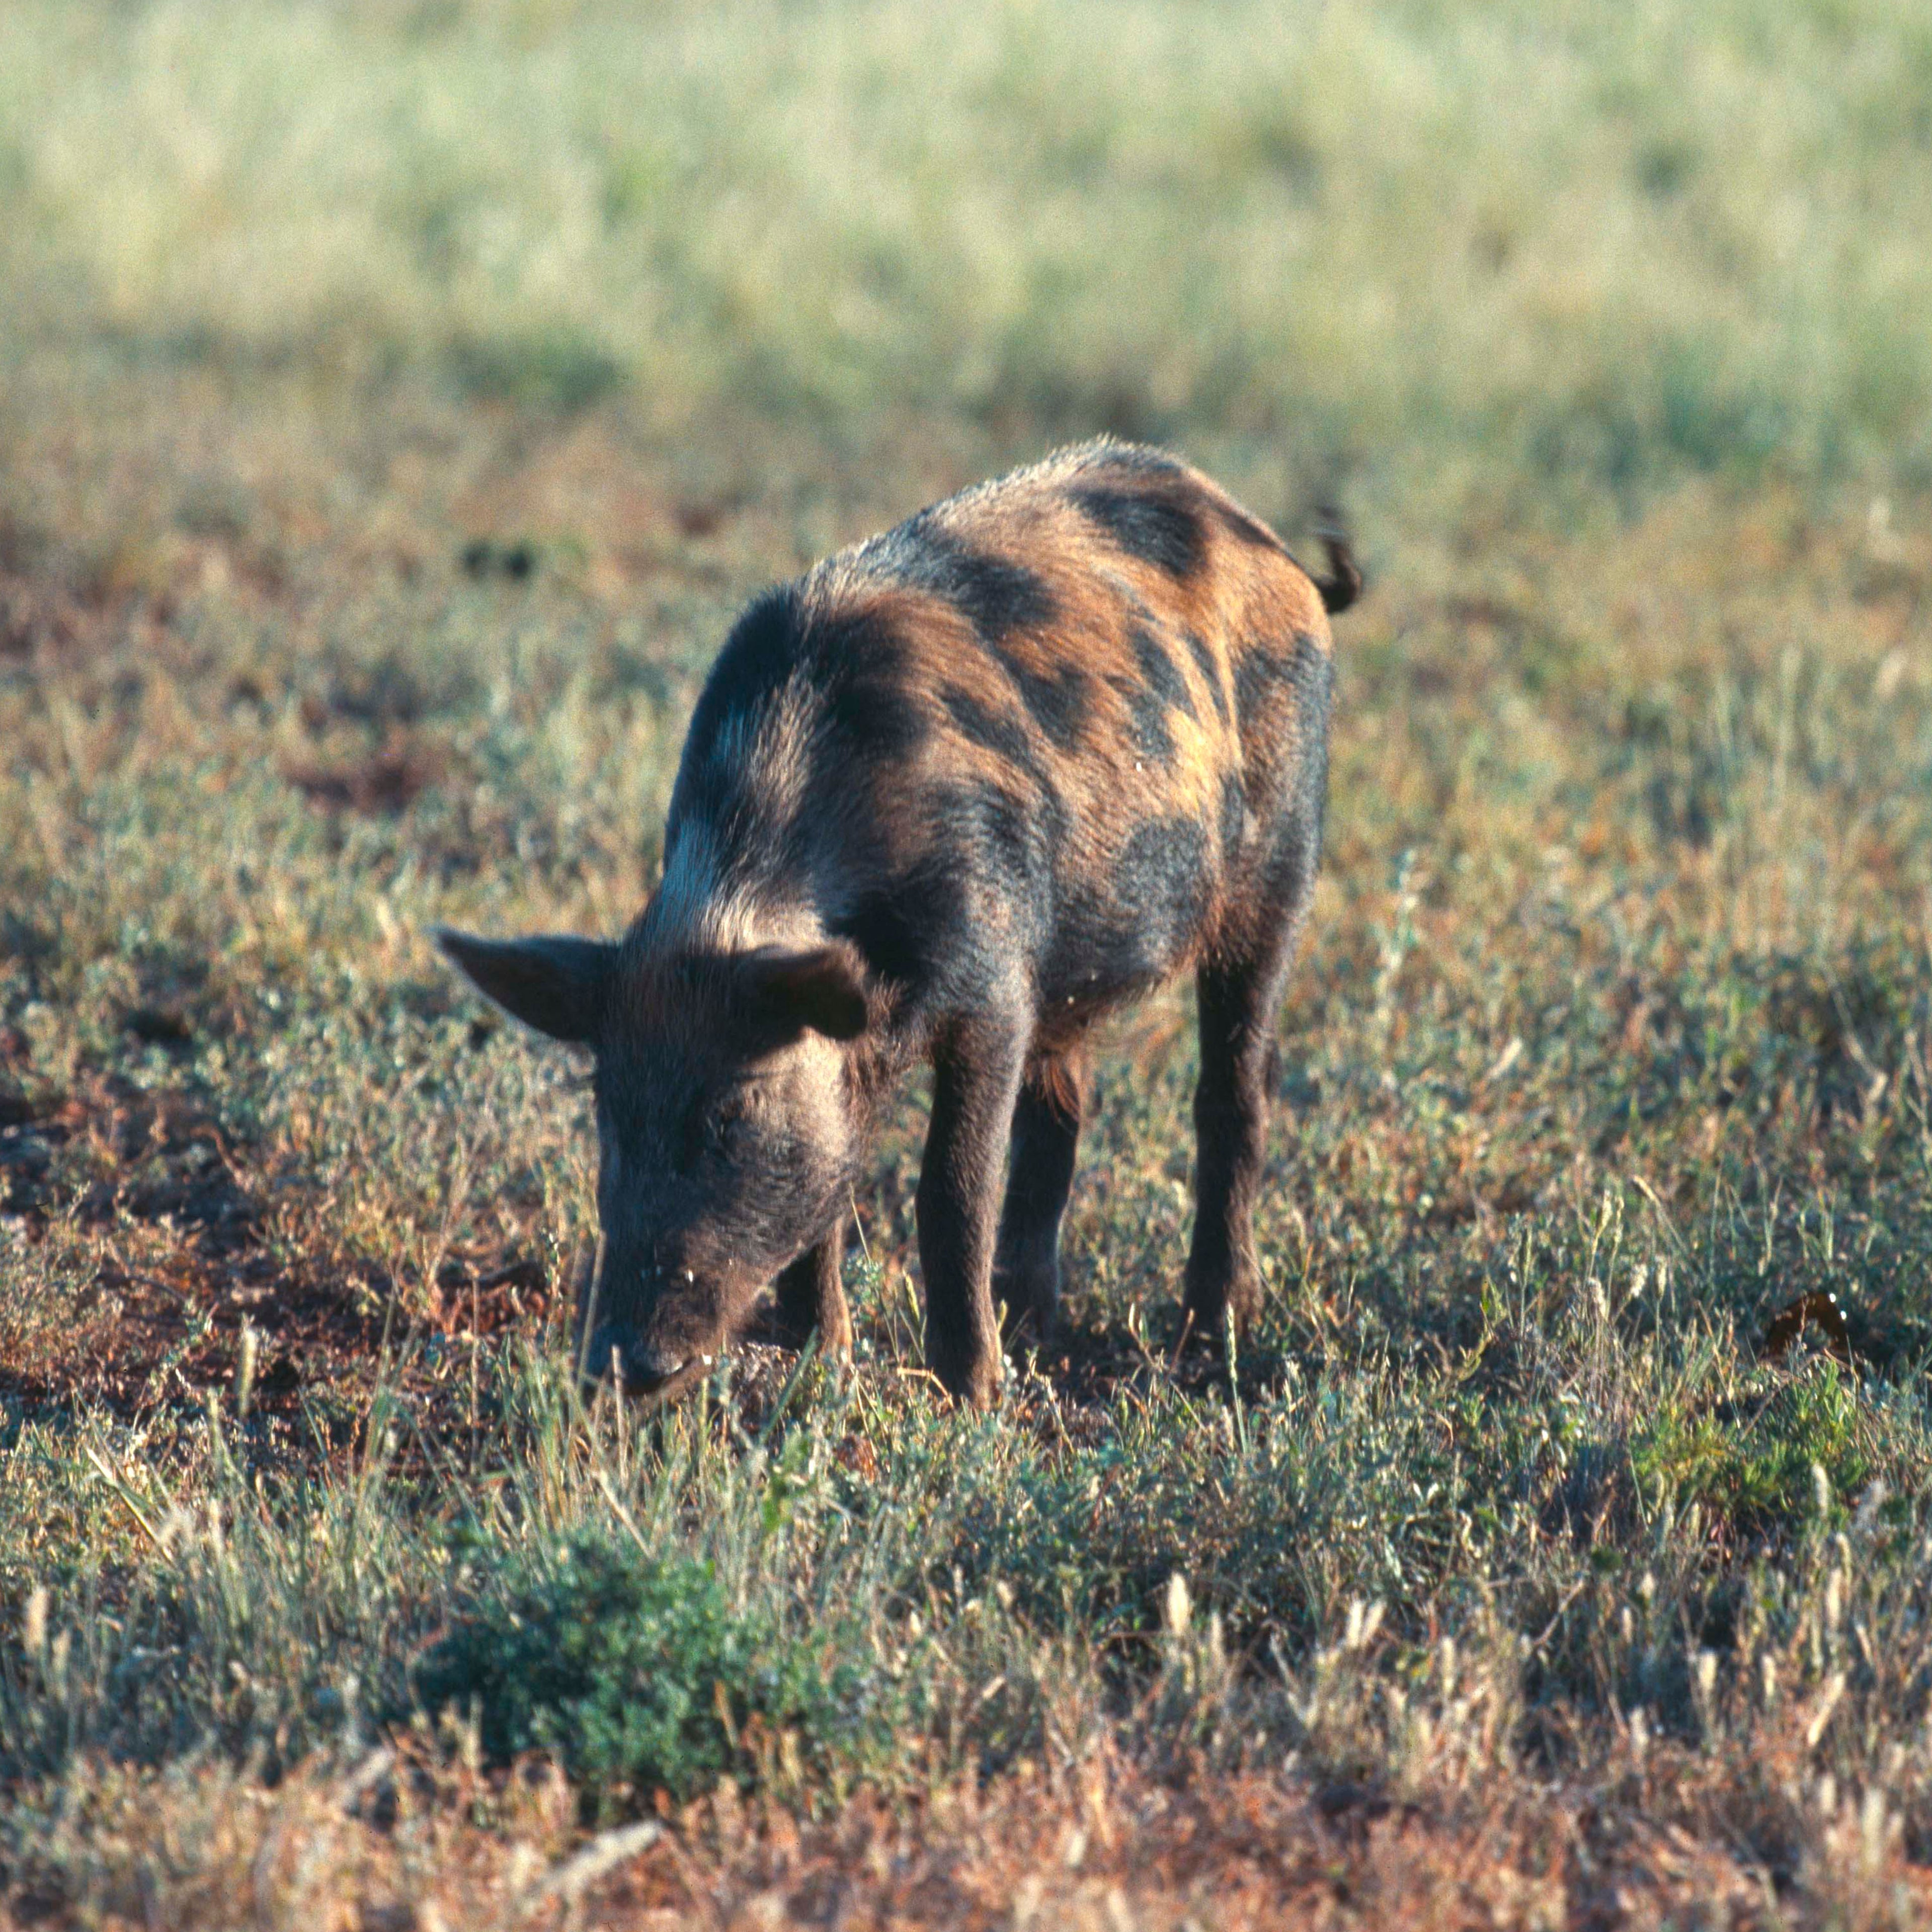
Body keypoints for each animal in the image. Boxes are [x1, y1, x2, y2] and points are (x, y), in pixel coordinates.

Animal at [438, 438, 1352, 1406]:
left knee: (1235, 1089)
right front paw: (823, 1362)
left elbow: (949, 1189)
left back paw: (1209, 1334)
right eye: (609, 1109)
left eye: (735, 1109)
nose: (619, 1362)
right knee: (1062, 1111)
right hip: (1075, 974)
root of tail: (1272, 547)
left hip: (1282, 865)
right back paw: (1031, 1327)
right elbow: (835, 1185)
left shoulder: (994, 985)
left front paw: (972, 1396)